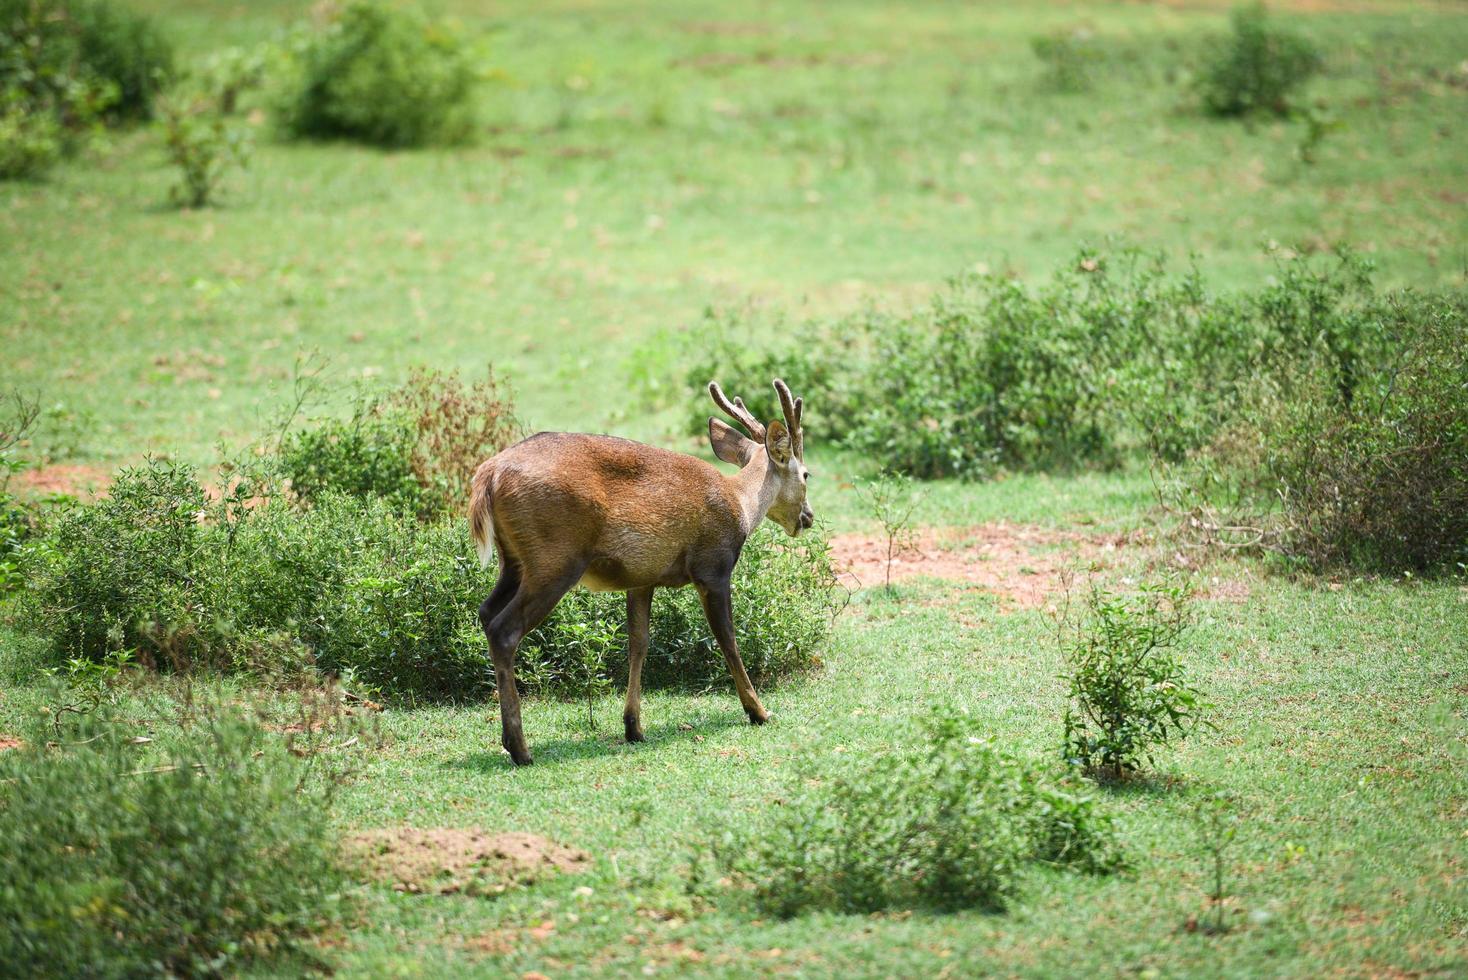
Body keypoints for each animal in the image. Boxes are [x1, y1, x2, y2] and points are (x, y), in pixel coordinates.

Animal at [469, 378, 816, 762]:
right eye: (806, 473)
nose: (808, 517)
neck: (741, 504)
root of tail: (488, 476)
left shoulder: (642, 578)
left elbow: (639, 642)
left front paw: (633, 726)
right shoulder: (713, 565)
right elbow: (727, 638)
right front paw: (758, 710)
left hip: (514, 561)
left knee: (485, 612)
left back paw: (509, 740)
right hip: (555, 558)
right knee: (504, 629)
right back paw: (520, 748)